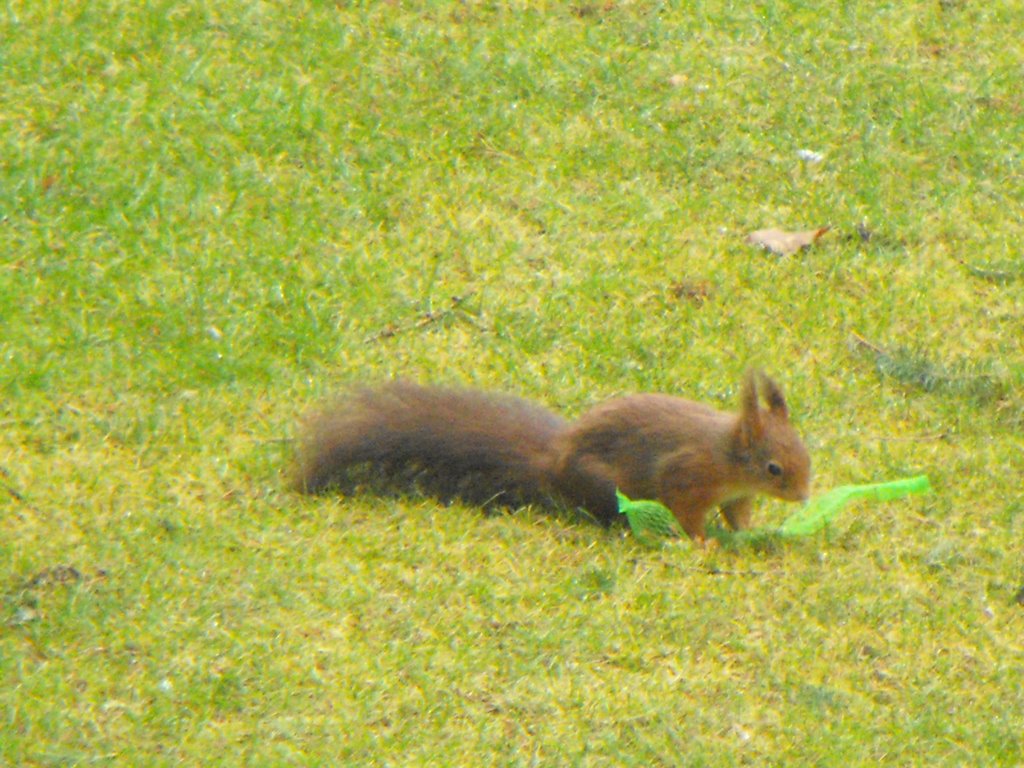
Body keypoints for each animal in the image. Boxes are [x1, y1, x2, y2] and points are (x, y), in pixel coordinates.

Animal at [292, 368, 811, 536]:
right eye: (773, 468)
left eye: (805, 454)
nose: (805, 497)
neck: (728, 458)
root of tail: (555, 461)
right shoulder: (688, 475)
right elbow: (687, 513)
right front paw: (701, 543)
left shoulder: (735, 496)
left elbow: (739, 517)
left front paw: (747, 534)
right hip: (604, 484)